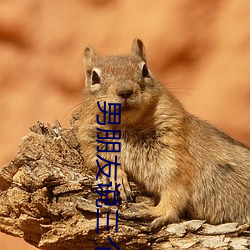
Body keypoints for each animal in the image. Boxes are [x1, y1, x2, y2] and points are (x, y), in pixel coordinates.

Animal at [77, 38, 249, 229]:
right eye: (94, 77)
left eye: (145, 70)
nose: (125, 91)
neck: (126, 127)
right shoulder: (90, 142)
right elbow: (99, 161)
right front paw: (116, 176)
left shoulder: (175, 154)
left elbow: (175, 189)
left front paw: (156, 211)